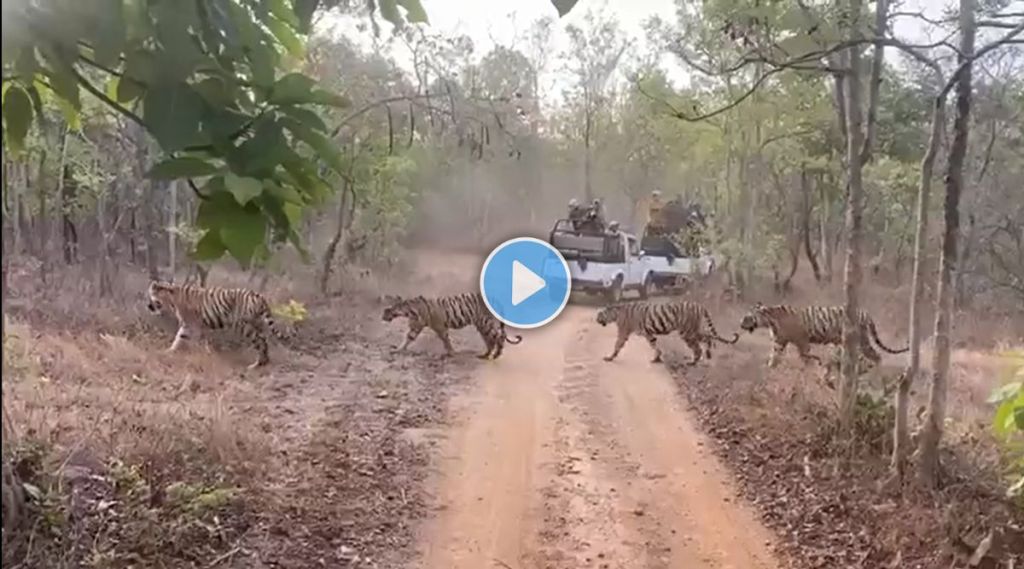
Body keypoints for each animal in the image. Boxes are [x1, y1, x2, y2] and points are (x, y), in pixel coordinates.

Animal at [144, 280, 290, 368]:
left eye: (152, 297)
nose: (148, 306)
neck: (170, 299)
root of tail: (259, 296)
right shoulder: (196, 326)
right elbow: (183, 339)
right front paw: (169, 351)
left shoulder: (191, 325)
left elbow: (183, 338)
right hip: (257, 324)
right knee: (264, 341)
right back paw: (264, 362)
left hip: (244, 327)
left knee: (260, 341)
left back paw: (256, 364)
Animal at [382, 292, 524, 360]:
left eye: (386, 310)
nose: (381, 317)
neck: (409, 311)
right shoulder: (415, 327)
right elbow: (407, 339)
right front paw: (397, 349)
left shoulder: (439, 327)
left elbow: (446, 339)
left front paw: (451, 352)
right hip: (482, 326)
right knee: (490, 339)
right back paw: (485, 355)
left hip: (486, 323)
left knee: (499, 336)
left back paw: (496, 355)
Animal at [598, 298, 741, 364]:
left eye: (599, 314)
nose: (596, 319)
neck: (615, 313)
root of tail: (698, 305)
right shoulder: (648, 333)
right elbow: (654, 345)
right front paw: (657, 358)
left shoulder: (623, 332)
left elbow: (617, 345)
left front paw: (609, 357)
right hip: (693, 329)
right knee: (707, 337)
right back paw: (709, 353)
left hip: (687, 332)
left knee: (698, 347)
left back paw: (693, 362)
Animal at [737, 302, 913, 368]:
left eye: (747, 317)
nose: (740, 324)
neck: (770, 321)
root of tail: (866, 312)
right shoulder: (779, 342)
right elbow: (774, 357)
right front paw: (769, 368)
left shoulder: (802, 340)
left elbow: (805, 356)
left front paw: (809, 368)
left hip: (862, 340)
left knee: (876, 355)